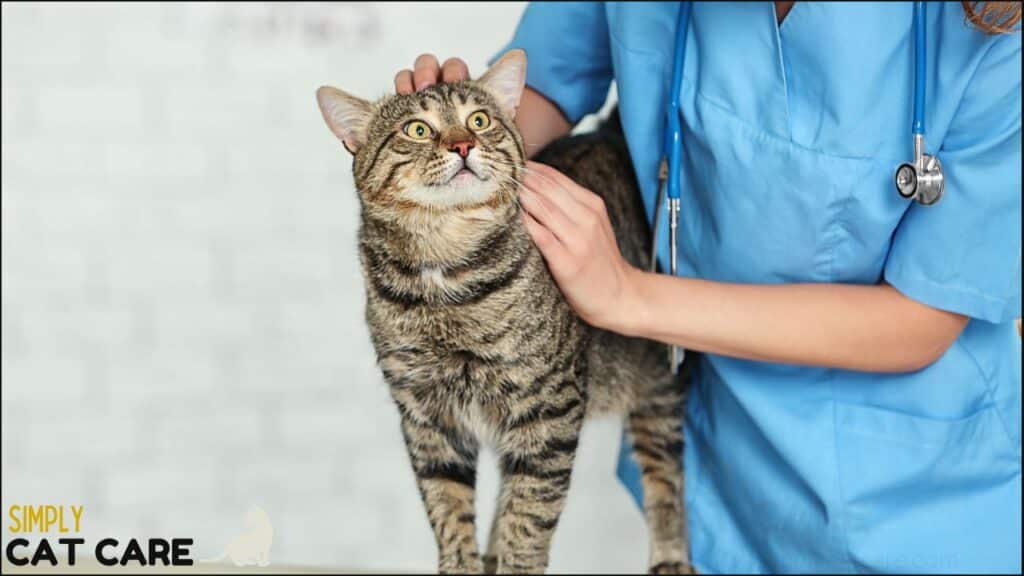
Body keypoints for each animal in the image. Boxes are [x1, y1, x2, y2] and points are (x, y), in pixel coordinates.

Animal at [315, 50, 692, 573]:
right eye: (417, 129)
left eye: (479, 120)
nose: (463, 144)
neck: (444, 275)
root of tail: (607, 133)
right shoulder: (427, 418)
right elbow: (448, 509)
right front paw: (464, 562)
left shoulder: (549, 409)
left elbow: (529, 516)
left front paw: (515, 557)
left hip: (656, 381)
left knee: (664, 470)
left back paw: (671, 553)